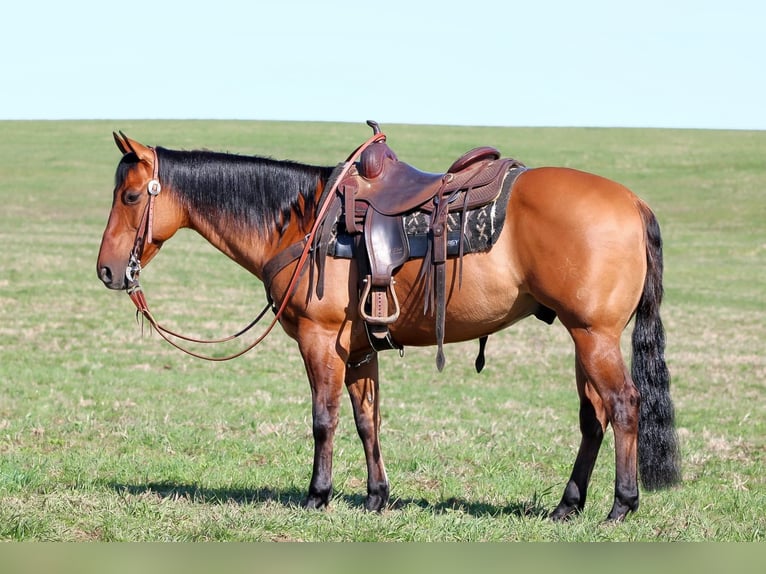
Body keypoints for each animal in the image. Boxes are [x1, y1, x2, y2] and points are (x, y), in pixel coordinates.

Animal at [96, 126, 680, 522]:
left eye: (130, 196)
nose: (107, 269)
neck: (304, 220)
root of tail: (633, 201)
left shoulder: (319, 340)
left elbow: (324, 419)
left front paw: (317, 495)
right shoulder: (358, 347)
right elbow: (366, 420)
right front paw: (377, 496)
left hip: (594, 337)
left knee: (623, 405)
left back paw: (621, 505)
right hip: (582, 337)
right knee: (594, 418)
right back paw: (567, 506)